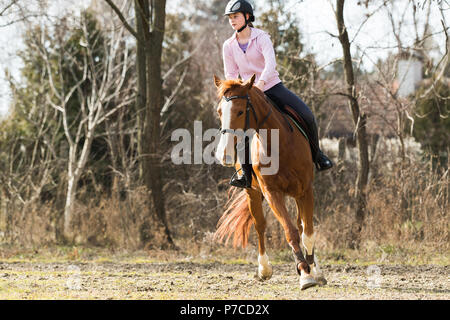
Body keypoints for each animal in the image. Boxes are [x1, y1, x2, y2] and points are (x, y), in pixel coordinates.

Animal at [213, 74, 326, 290]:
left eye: (240, 111)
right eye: (219, 112)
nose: (224, 154)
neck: (280, 145)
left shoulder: (306, 190)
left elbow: (307, 233)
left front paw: (313, 270)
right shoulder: (272, 193)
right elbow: (290, 231)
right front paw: (304, 272)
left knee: (302, 225)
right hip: (252, 192)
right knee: (260, 225)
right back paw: (264, 269)